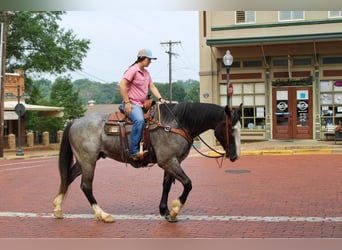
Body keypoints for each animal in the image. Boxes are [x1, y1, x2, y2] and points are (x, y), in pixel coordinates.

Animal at [52, 101, 243, 223]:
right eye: (231, 128)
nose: (235, 156)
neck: (176, 124)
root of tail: (75, 121)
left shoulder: (171, 162)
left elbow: (167, 185)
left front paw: (165, 211)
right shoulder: (168, 161)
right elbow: (188, 184)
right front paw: (175, 209)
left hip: (84, 160)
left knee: (68, 178)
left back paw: (58, 209)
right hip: (88, 161)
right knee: (86, 186)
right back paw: (103, 214)